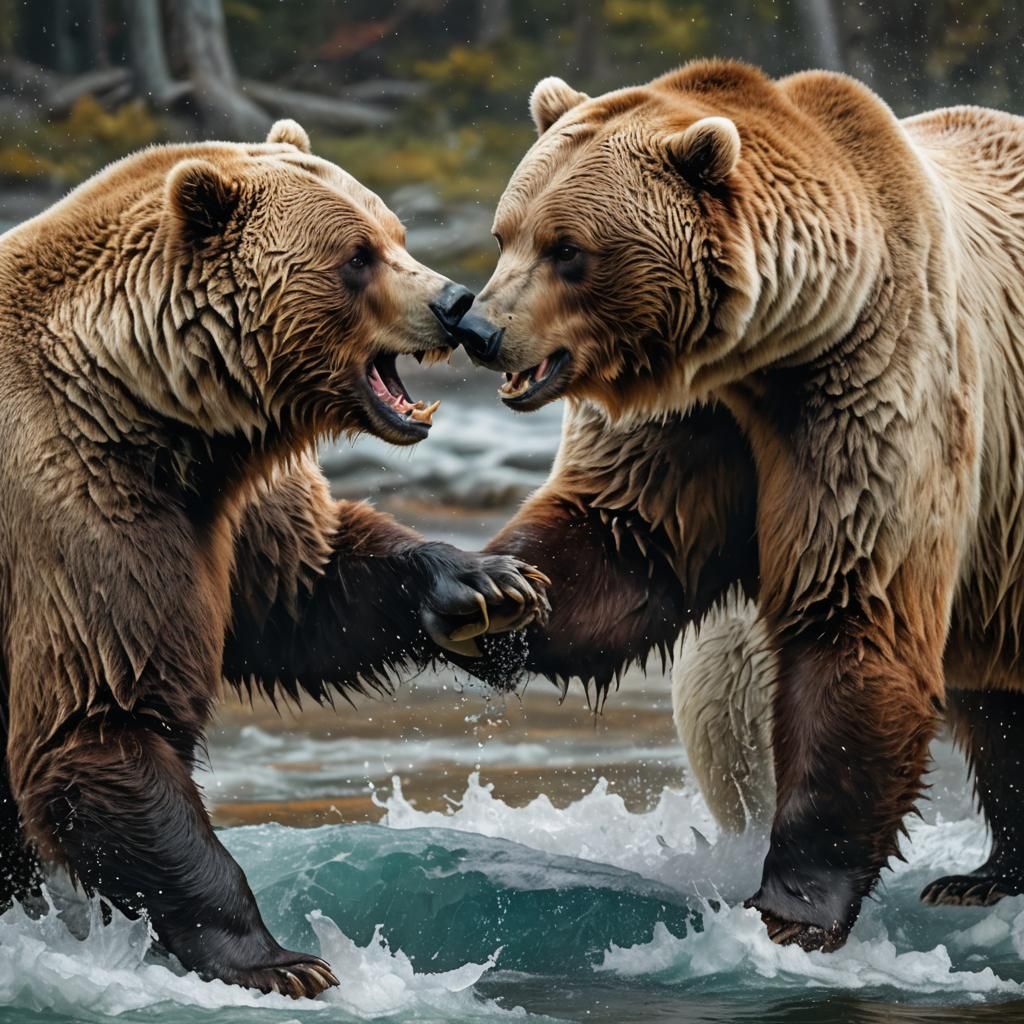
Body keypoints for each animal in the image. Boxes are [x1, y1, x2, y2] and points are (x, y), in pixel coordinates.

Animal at [0, 118, 549, 997]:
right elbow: (100, 721)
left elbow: (307, 586)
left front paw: (486, 588)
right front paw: (283, 960)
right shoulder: (75, 511)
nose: (455, 303)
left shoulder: (224, 503)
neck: (150, 410)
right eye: (357, 254)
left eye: (396, 232)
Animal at [447, 58, 1024, 953]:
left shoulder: (875, 389)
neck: (768, 353)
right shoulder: (689, 422)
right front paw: (484, 596)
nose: (479, 330)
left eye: (568, 248)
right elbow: (620, 541)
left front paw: (789, 907)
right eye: (505, 233)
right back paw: (982, 876)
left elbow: (849, 614)